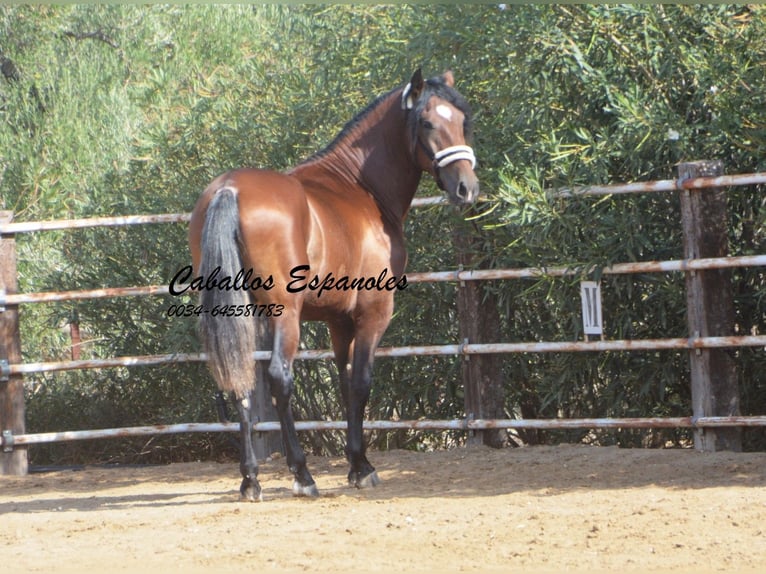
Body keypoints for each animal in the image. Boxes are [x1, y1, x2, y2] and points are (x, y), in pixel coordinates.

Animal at [188, 68, 480, 504]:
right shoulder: (373, 311)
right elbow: (360, 383)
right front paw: (362, 468)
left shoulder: (337, 320)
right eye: (427, 122)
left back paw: (251, 480)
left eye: (462, 121)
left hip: (238, 313)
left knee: (240, 379)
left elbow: (343, 382)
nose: (467, 188)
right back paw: (302, 474)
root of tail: (229, 189)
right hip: (284, 315)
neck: (358, 187)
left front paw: (354, 461)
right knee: (279, 377)